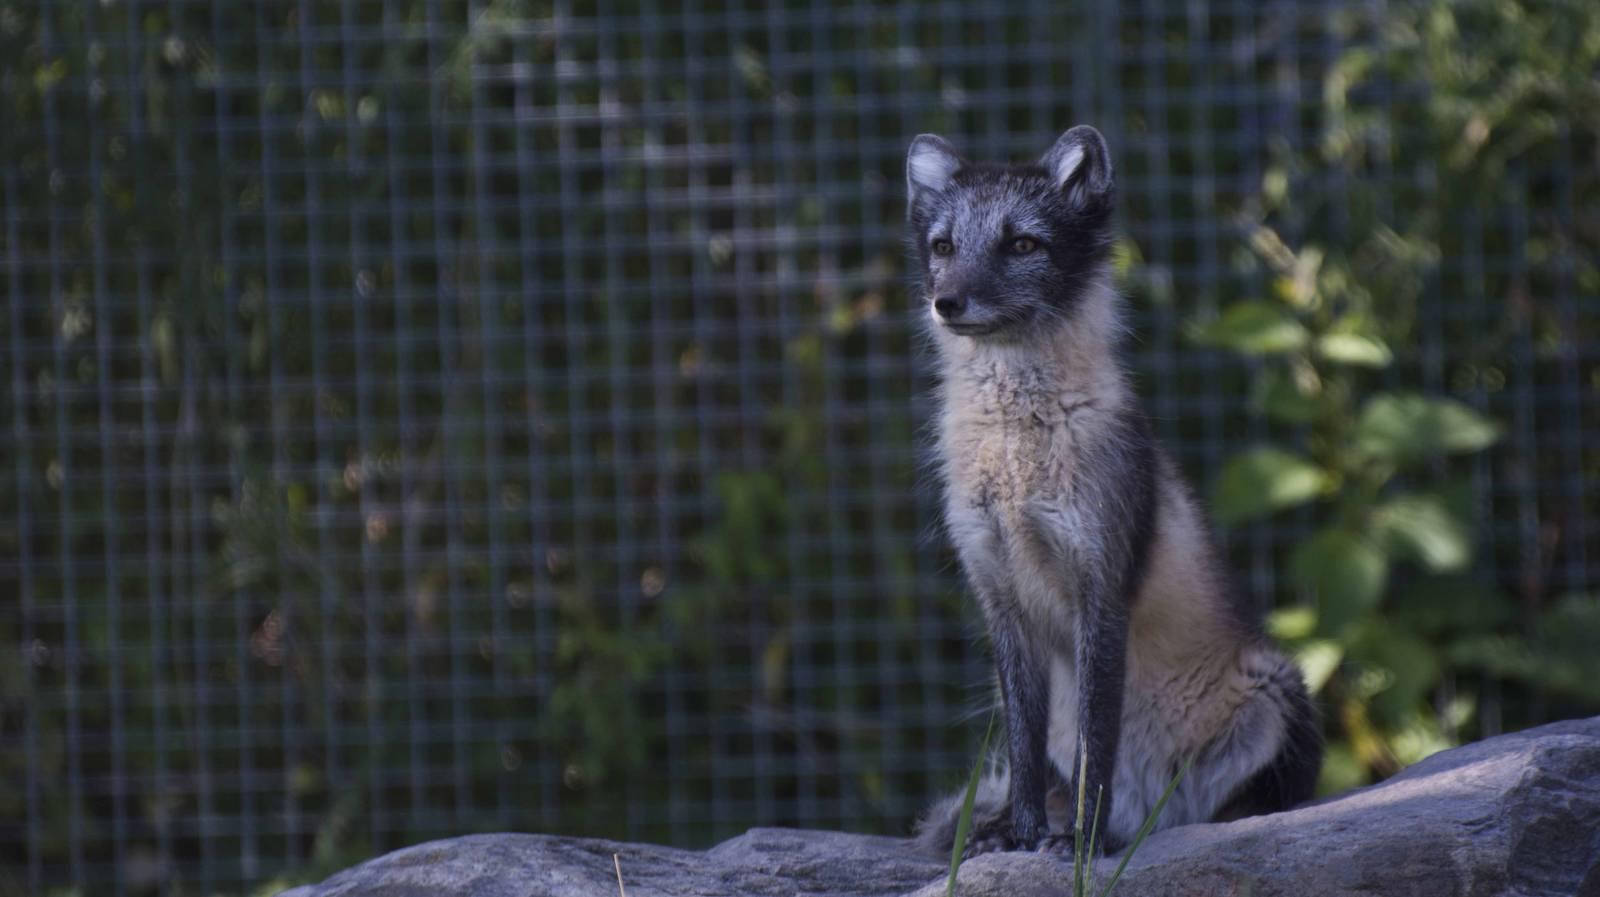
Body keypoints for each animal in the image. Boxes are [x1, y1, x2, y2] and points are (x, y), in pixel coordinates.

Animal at [907, 126, 1322, 857]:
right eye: (943, 246)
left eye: (1022, 245)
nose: (947, 302)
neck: (1016, 460)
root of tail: (1151, 811)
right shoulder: (998, 595)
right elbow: (1025, 744)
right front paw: (1019, 832)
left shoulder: (1100, 587)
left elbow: (1094, 739)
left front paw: (1080, 839)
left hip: (1278, 690)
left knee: (1259, 800)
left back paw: (1195, 823)